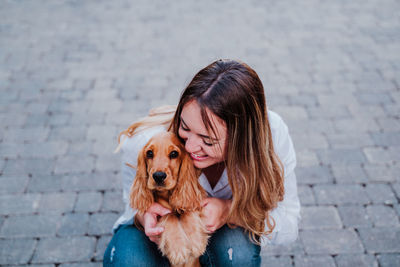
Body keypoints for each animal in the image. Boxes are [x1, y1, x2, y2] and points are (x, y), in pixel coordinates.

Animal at [130, 131, 209, 266]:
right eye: (149, 153)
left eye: (174, 154)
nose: (158, 176)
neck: (167, 195)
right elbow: (169, 216)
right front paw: (178, 249)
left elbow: (187, 211)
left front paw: (196, 242)